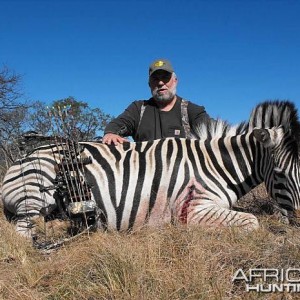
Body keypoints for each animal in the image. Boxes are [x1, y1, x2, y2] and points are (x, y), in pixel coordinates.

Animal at [0, 101, 300, 239]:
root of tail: (20, 159)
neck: (215, 164)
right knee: (25, 232)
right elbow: (252, 222)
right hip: (36, 198)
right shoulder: (193, 209)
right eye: (280, 173)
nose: (298, 221)